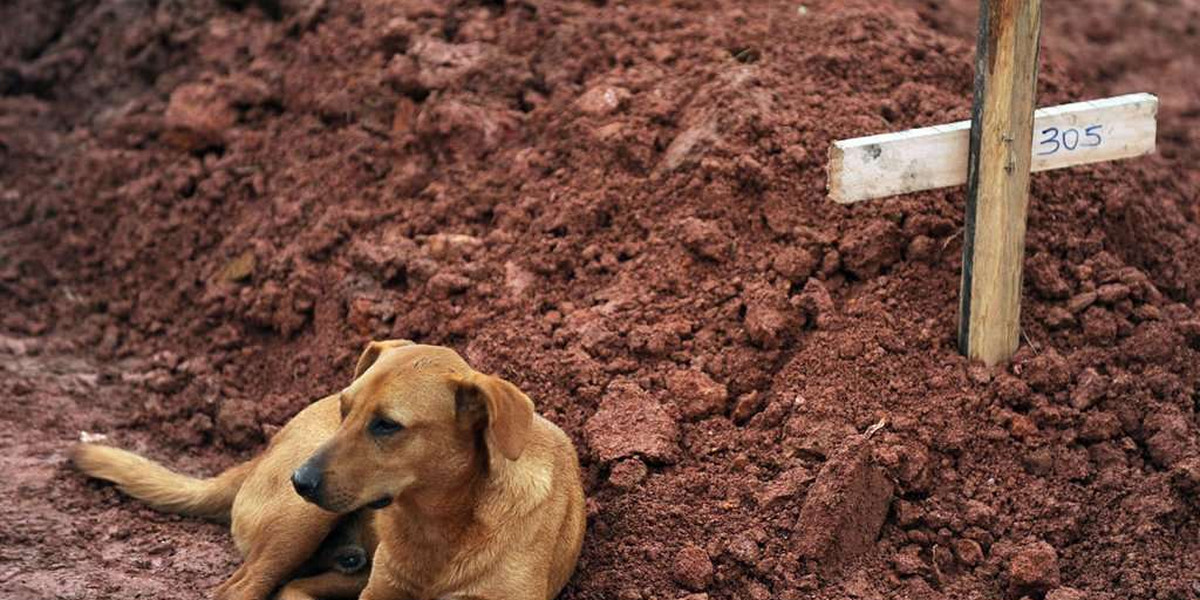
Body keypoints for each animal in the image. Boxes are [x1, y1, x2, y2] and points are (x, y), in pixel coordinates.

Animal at [70, 343, 585, 600]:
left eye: (386, 425)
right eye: (345, 407)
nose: (300, 481)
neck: (440, 525)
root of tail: (264, 451)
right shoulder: (381, 593)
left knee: (290, 589)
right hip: (298, 525)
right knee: (242, 589)